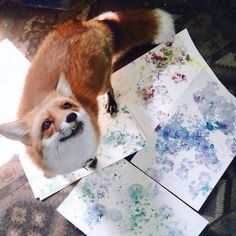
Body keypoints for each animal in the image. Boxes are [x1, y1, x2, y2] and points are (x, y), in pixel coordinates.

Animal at [0, 8, 174, 177]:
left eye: (66, 106)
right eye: (46, 124)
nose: (71, 116)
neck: (71, 154)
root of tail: (85, 24)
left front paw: (92, 163)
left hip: (102, 83)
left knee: (109, 87)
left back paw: (111, 103)